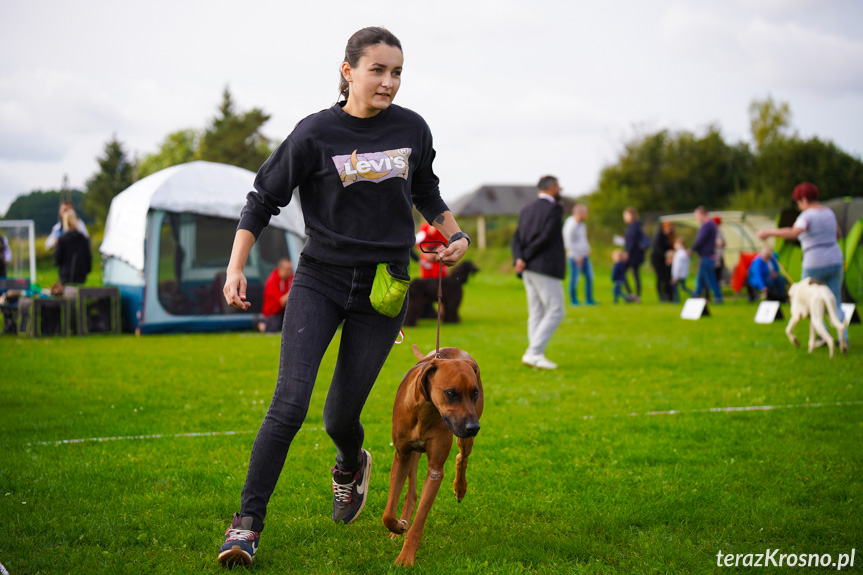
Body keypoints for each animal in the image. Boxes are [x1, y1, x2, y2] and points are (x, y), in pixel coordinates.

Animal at [384, 346, 486, 568]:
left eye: (474, 392)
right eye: (451, 393)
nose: (474, 428)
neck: (426, 410)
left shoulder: (435, 470)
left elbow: (419, 521)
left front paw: (406, 558)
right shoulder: (402, 455)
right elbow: (388, 514)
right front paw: (398, 527)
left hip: (464, 436)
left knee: (462, 457)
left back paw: (460, 488)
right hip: (414, 453)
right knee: (411, 492)